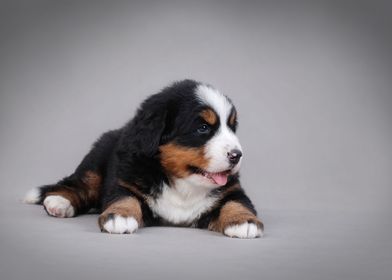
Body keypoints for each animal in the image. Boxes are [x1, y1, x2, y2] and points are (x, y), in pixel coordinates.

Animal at [23, 79, 264, 238]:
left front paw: (244, 221)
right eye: (203, 128)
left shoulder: (232, 189)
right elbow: (124, 197)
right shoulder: (124, 179)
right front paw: (119, 217)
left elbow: (237, 202)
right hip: (94, 165)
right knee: (78, 185)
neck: (181, 184)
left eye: (232, 127)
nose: (237, 155)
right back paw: (59, 202)